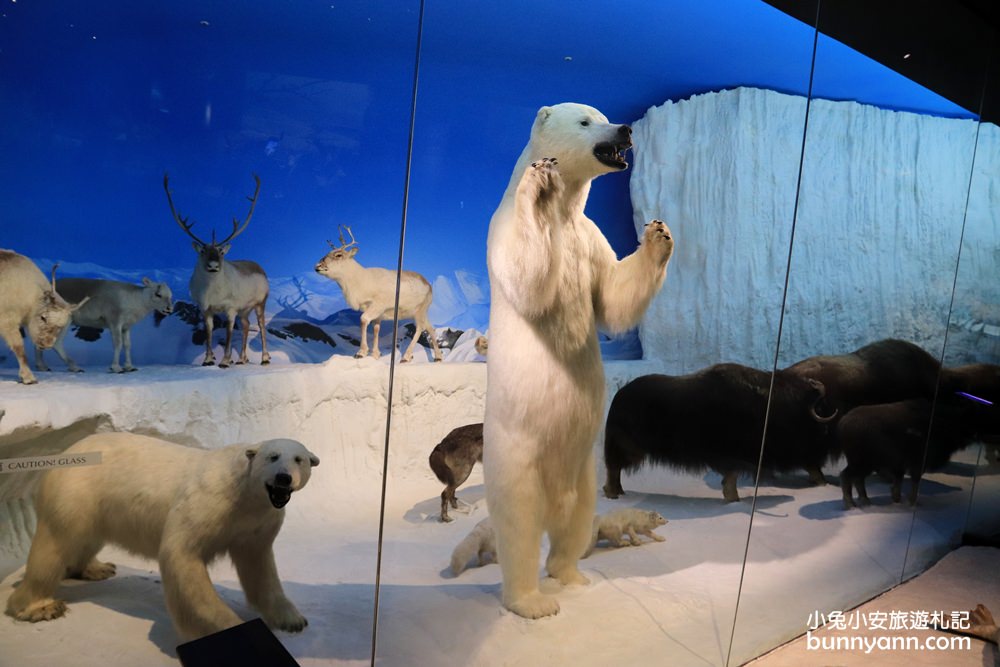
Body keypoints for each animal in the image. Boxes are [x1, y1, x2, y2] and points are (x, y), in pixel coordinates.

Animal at [5, 430, 318, 644]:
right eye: (272, 456)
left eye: (299, 459)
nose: (283, 478)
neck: (245, 493)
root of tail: (66, 451)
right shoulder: (211, 502)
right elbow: (181, 554)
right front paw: (231, 628)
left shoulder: (257, 524)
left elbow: (260, 568)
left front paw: (293, 619)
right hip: (76, 491)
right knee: (54, 545)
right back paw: (40, 606)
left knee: (84, 539)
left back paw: (97, 568)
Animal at [482, 102, 672, 620]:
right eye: (586, 121)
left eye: (605, 115)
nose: (625, 129)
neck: (565, 213)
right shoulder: (502, 226)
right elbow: (527, 274)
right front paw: (537, 182)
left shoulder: (587, 238)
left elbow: (611, 297)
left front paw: (659, 234)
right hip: (515, 456)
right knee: (520, 527)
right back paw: (532, 602)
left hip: (585, 465)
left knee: (576, 519)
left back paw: (572, 575)